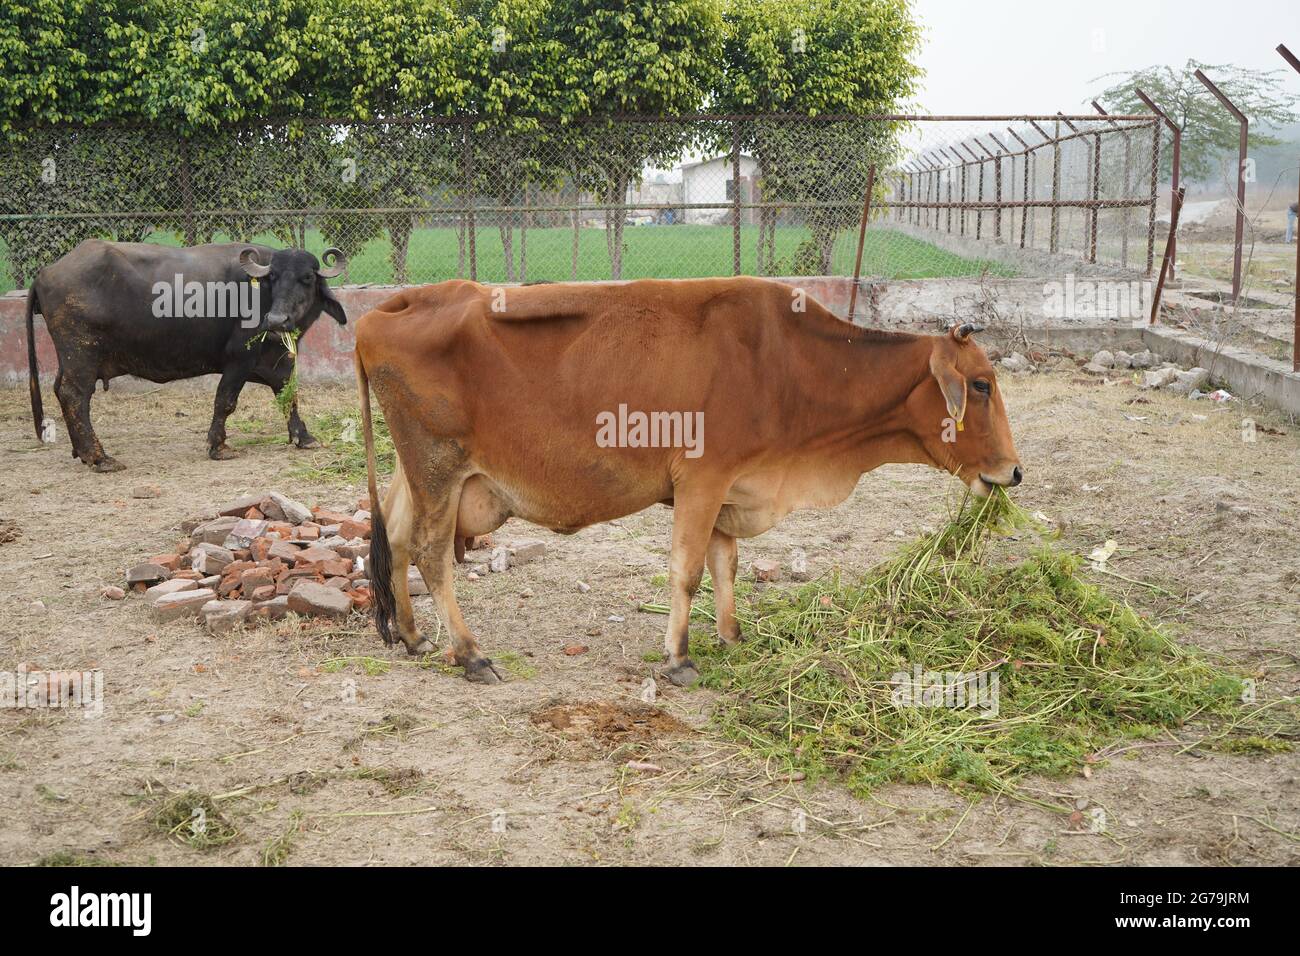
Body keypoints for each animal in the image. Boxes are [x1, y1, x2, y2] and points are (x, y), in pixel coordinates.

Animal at [26, 239, 351, 470]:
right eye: (273, 276)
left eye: (307, 277)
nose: (276, 320)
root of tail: (45, 273)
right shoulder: (239, 360)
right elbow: (225, 401)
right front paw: (218, 446)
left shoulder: (279, 361)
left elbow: (289, 396)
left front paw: (303, 437)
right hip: (81, 353)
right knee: (74, 395)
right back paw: (99, 457)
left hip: (70, 358)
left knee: (60, 390)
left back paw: (80, 451)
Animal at [358, 277, 1024, 686]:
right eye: (981, 384)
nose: (1013, 472)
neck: (791, 366)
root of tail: (390, 309)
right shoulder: (702, 480)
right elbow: (686, 571)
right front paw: (678, 657)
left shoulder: (732, 487)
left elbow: (725, 565)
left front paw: (730, 636)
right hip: (439, 467)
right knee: (432, 555)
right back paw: (470, 653)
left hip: (421, 473)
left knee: (396, 537)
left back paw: (414, 637)